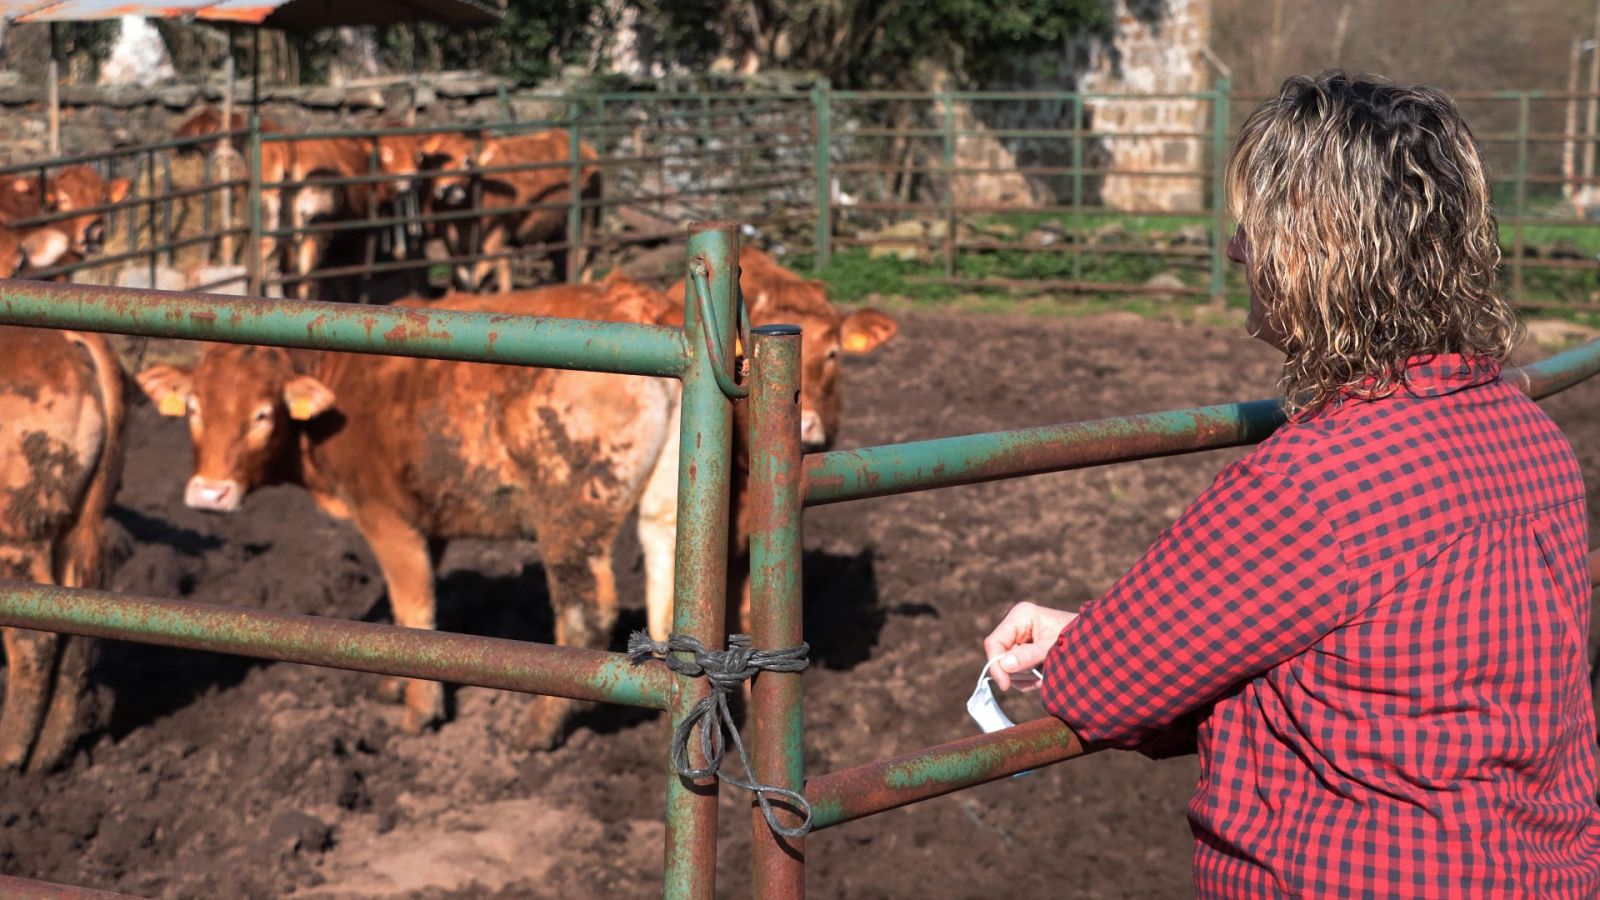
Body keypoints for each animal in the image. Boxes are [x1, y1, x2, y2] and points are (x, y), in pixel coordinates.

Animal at [137, 275, 681, 749]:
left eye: (262, 415)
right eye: (193, 408)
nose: (210, 493)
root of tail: (635, 300)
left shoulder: (387, 519)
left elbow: (415, 613)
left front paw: (419, 711)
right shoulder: (427, 524)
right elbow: (405, 615)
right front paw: (394, 686)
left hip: (570, 515)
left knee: (585, 614)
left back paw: (538, 728)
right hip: (664, 509)